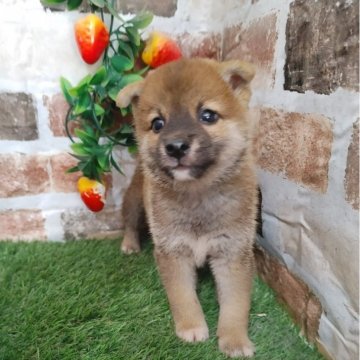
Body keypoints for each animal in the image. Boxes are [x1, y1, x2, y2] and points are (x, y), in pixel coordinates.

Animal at [116, 59, 258, 358]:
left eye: (208, 116)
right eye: (158, 123)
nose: (176, 146)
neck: (198, 195)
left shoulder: (233, 252)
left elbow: (236, 303)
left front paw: (235, 340)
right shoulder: (173, 250)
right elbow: (182, 296)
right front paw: (191, 327)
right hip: (134, 202)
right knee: (130, 222)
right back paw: (130, 244)